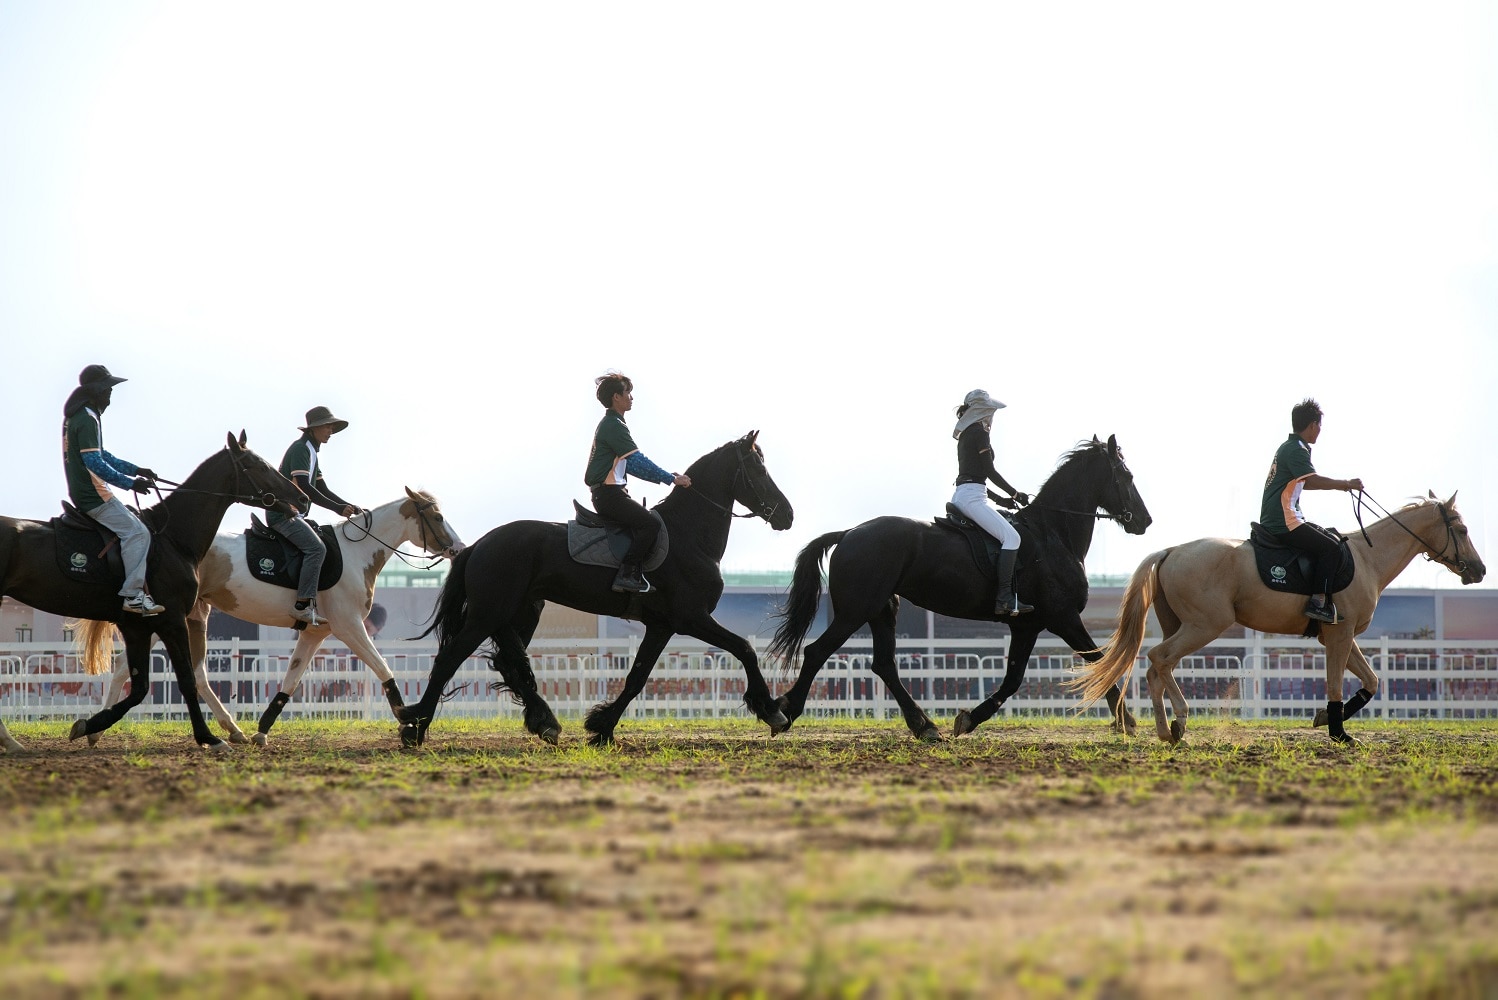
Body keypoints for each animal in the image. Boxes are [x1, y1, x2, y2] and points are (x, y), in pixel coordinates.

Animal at [0, 434, 305, 754]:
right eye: (258, 465)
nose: (302, 499)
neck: (172, 538)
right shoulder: (172, 621)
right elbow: (186, 680)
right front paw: (208, 737)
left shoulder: (137, 627)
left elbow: (140, 688)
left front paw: (89, 725)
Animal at [79, 488, 464, 745]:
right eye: (437, 517)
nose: (458, 549)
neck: (356, 553)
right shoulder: (350, 627)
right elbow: (383, 668)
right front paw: (406, 719)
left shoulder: (314, 634)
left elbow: (291, 680)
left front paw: (263, 729)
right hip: (172, 621)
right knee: (138, 669)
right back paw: (98, 729)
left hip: (188, 619)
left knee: (173, 672)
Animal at [398, 431, 796, 748]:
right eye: (758, 469)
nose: (787, 515)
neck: (688, 536)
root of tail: (479, 544)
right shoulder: (691, 619)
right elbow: (745, 649)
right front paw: (773, 712)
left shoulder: (662, 626)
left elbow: (637, 677)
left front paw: (602, 727)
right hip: (487, 615)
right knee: (450, 660)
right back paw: (416, 728)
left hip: (517, 614)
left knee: (511, 665)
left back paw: (544, 722)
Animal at [766, 434, 1150, 742]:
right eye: (1128, 476)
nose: (1145, 521)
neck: (1052, 534)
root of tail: (848, 533)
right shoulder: (1063, 618)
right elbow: (1101, 661)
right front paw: (1126, 720)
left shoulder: (1027, 625)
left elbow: (1013, 679)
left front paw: (967, 720)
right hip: (855, 611)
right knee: (818, 652)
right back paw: (785, 713)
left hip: (882, 610)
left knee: (884, 665)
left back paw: (924, 726)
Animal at [1078, 491, 1486, 742]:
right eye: (1462, 529)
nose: (1480, 570)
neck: (1367, 559)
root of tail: (1172, 550)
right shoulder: (1339, 637)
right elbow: (1336, 684)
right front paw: (1338, 732)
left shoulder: (1340, 636)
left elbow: (1371, 681)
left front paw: (1326, 719)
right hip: (1203, 626)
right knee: (1159, 659)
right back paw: (1178, 719)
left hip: (1179, 625)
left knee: (1156, 668)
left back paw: (1167, 730)